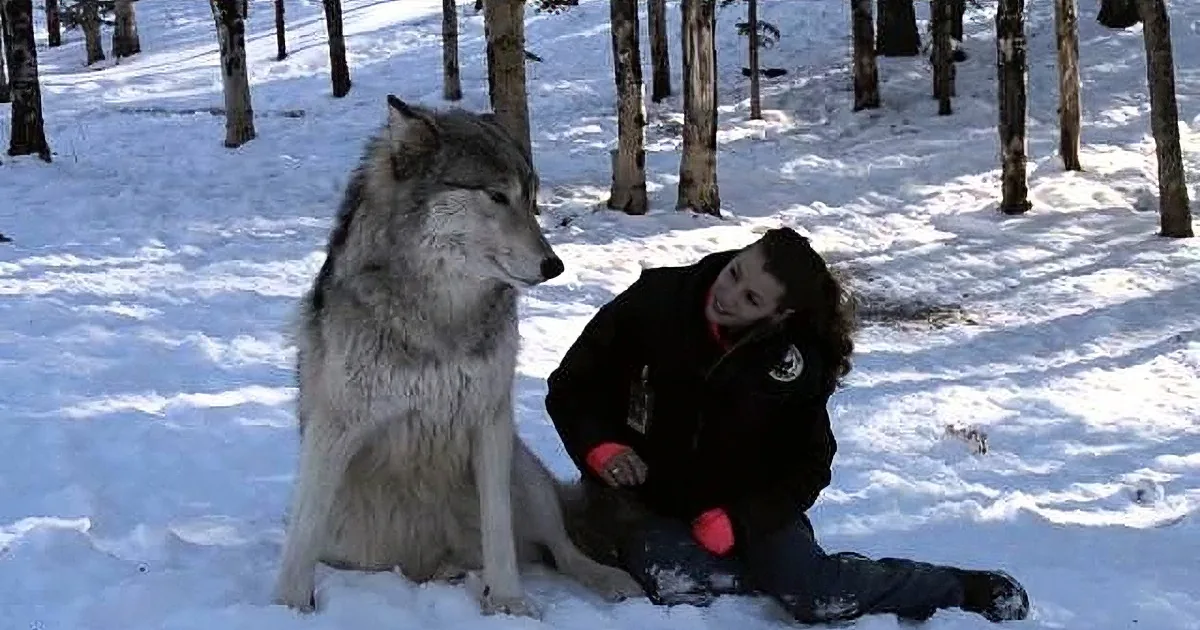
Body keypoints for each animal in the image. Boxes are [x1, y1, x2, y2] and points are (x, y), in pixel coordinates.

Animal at [271, 95, 643, 618]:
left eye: (531, 199)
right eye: (497, 196)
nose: (554, 265)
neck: (440, 317)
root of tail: (428, 563)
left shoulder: (490, 421)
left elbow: (500, 532)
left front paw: (509, 605)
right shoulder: (334, 429)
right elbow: (300, 540)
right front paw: (286, 607)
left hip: (525, 473)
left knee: (561, 549)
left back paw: (609, 580)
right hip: (349, 538)